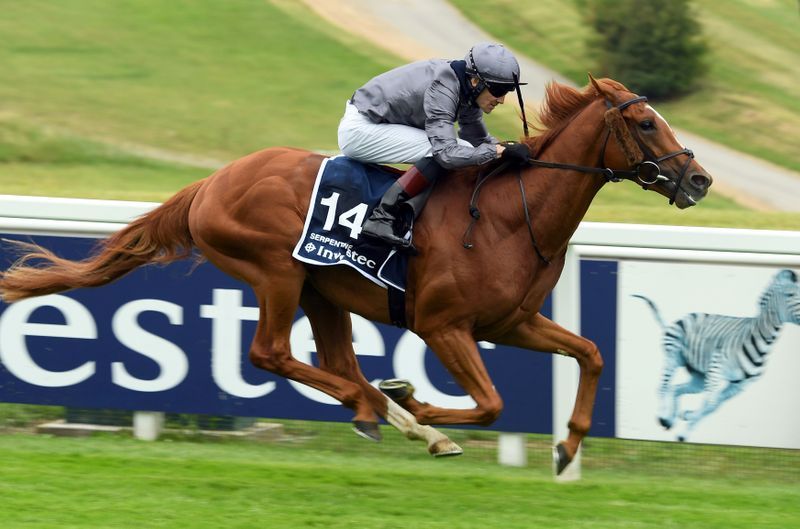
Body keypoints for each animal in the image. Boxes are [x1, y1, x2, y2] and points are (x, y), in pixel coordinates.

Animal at [0, 76, 712, 474]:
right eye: (645, 121)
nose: (700, 178)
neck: (515, 212)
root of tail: (212, 183)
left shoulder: (511, 321)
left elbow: (591, 353)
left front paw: (568, 447)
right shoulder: (443, 325)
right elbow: (490, 403)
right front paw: (418, 400)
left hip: (323, 290)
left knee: (336, 361)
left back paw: (396, 417)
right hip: (277, 272)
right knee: (271, 353)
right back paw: (387, 407)